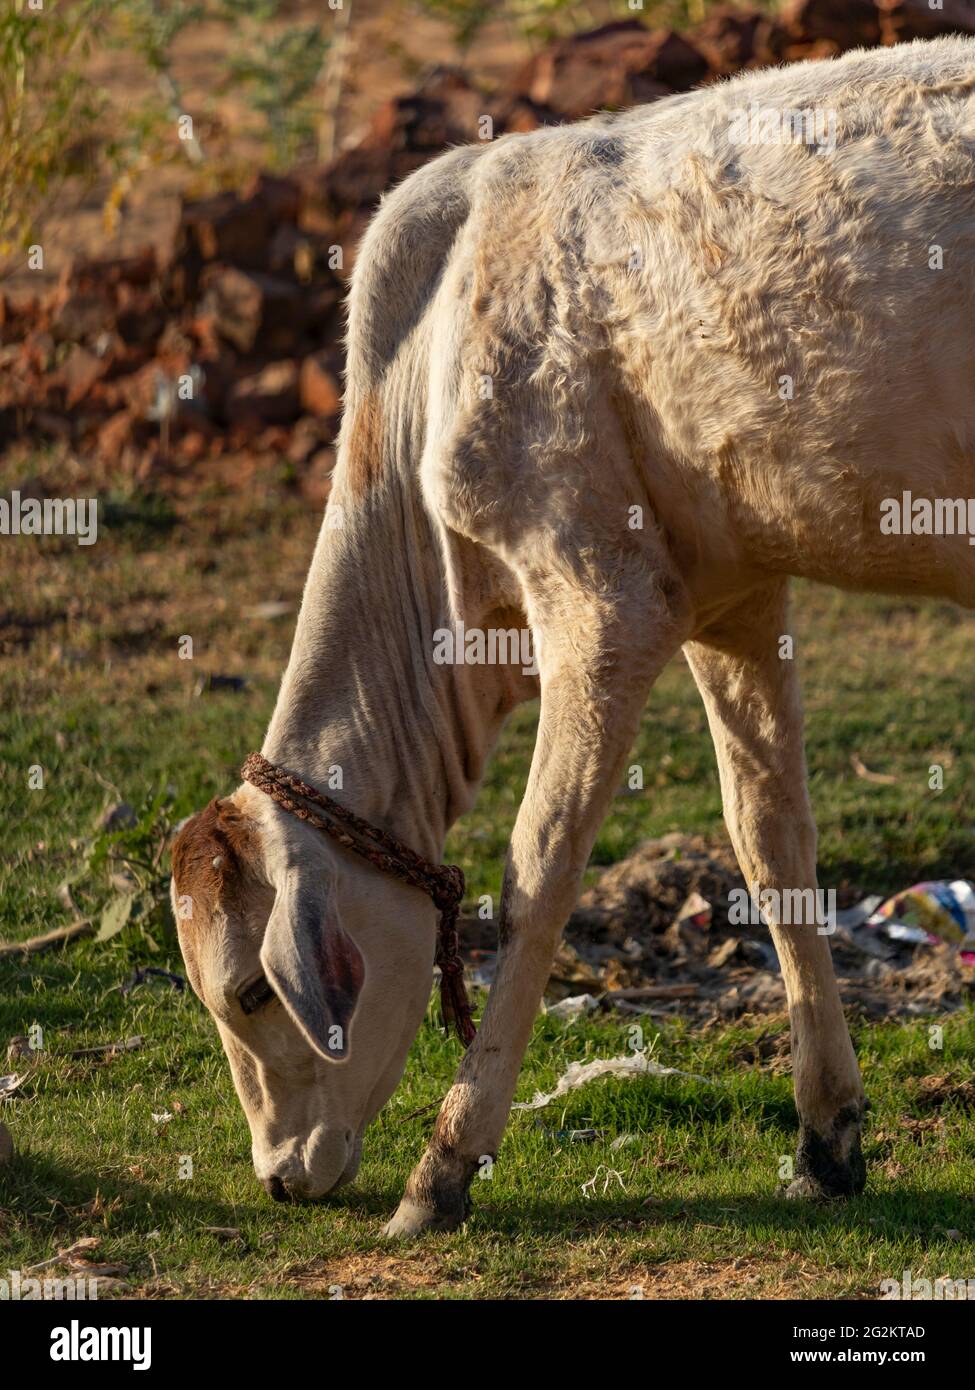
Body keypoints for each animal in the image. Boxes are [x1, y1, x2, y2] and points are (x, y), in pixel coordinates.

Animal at [171, 40, 973, 1239]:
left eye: (249, 991)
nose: (278, 1173)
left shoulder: (603, 603)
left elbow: (537, 872)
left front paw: (443, 1167)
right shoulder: (731, 593)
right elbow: (770, 842)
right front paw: (825, 1136)